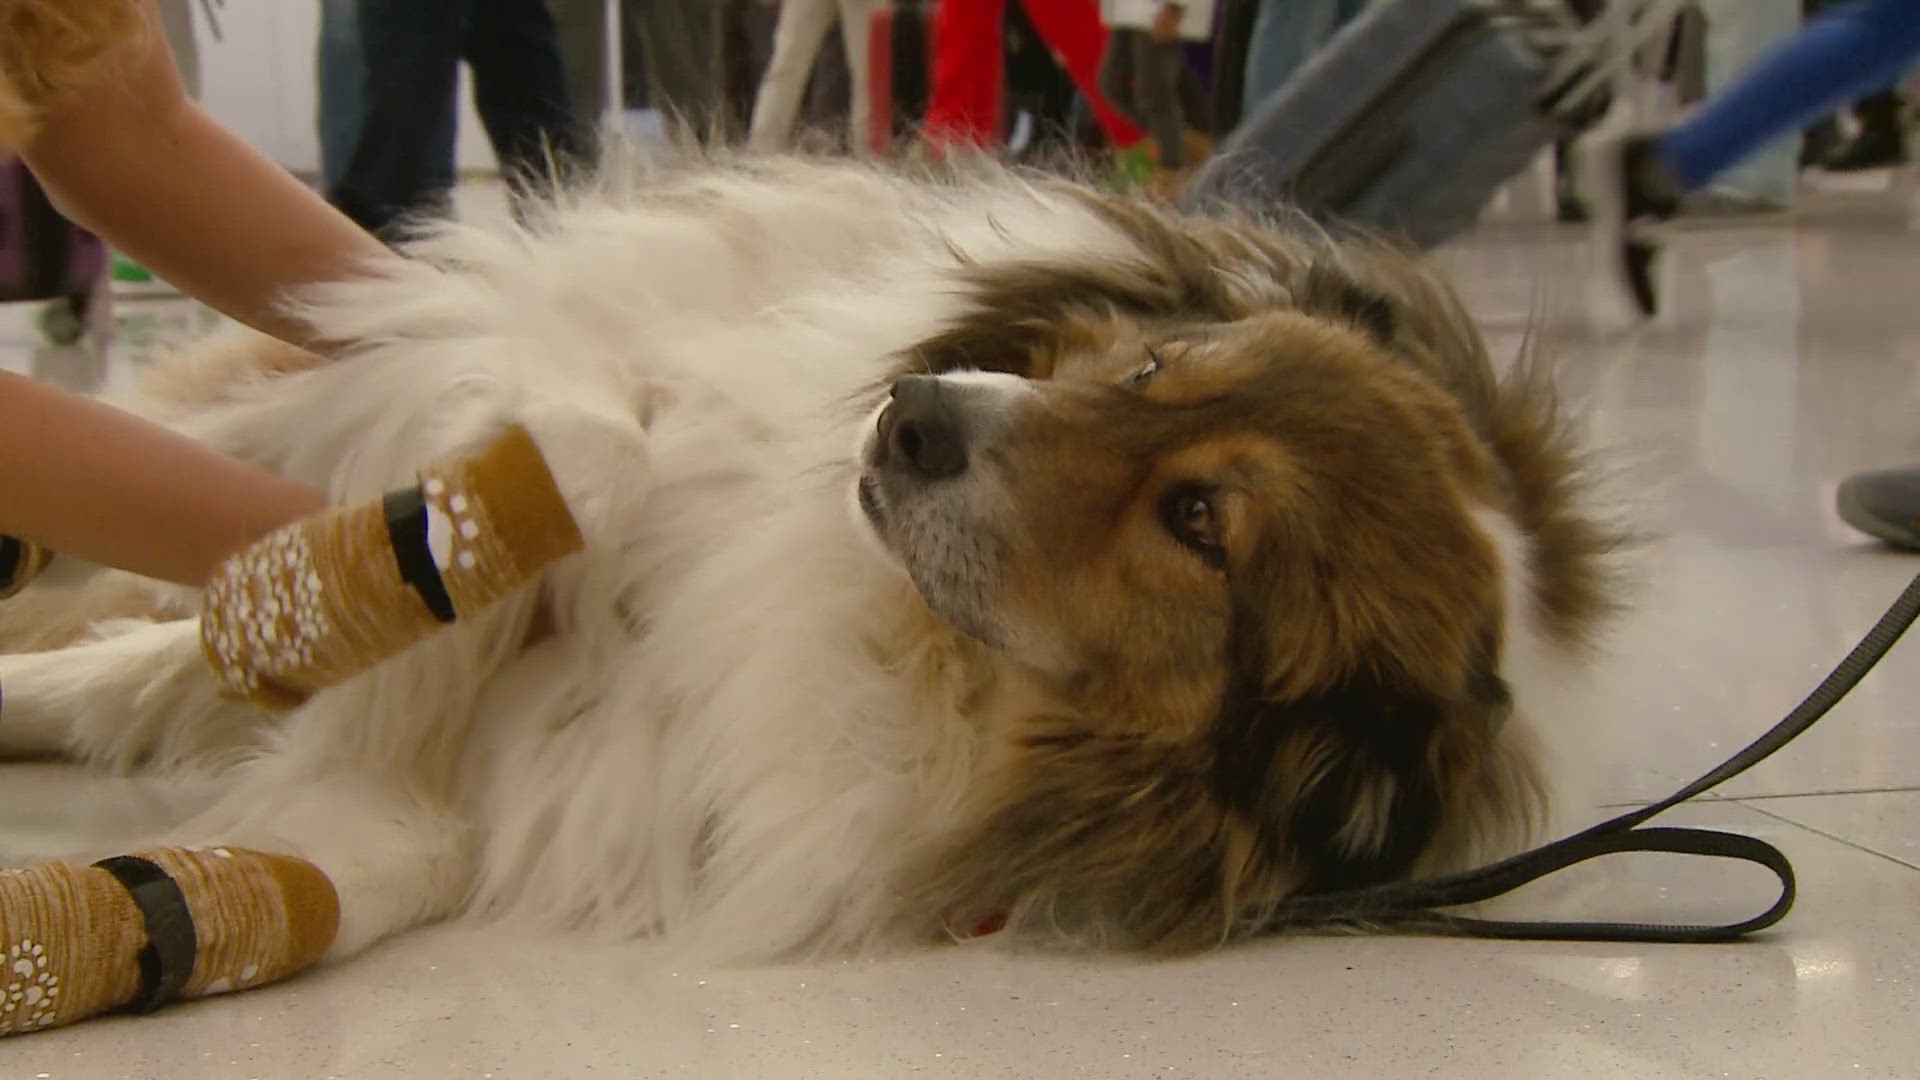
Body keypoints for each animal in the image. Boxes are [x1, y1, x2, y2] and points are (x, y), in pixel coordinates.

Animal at [0, 155, 1628, 1022]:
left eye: (1201, 521)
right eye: (1155, 370)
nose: (912, 415)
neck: (875, 615)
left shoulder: (500, 785)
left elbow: (331, 848)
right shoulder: (487, 352)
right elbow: (579, 440)